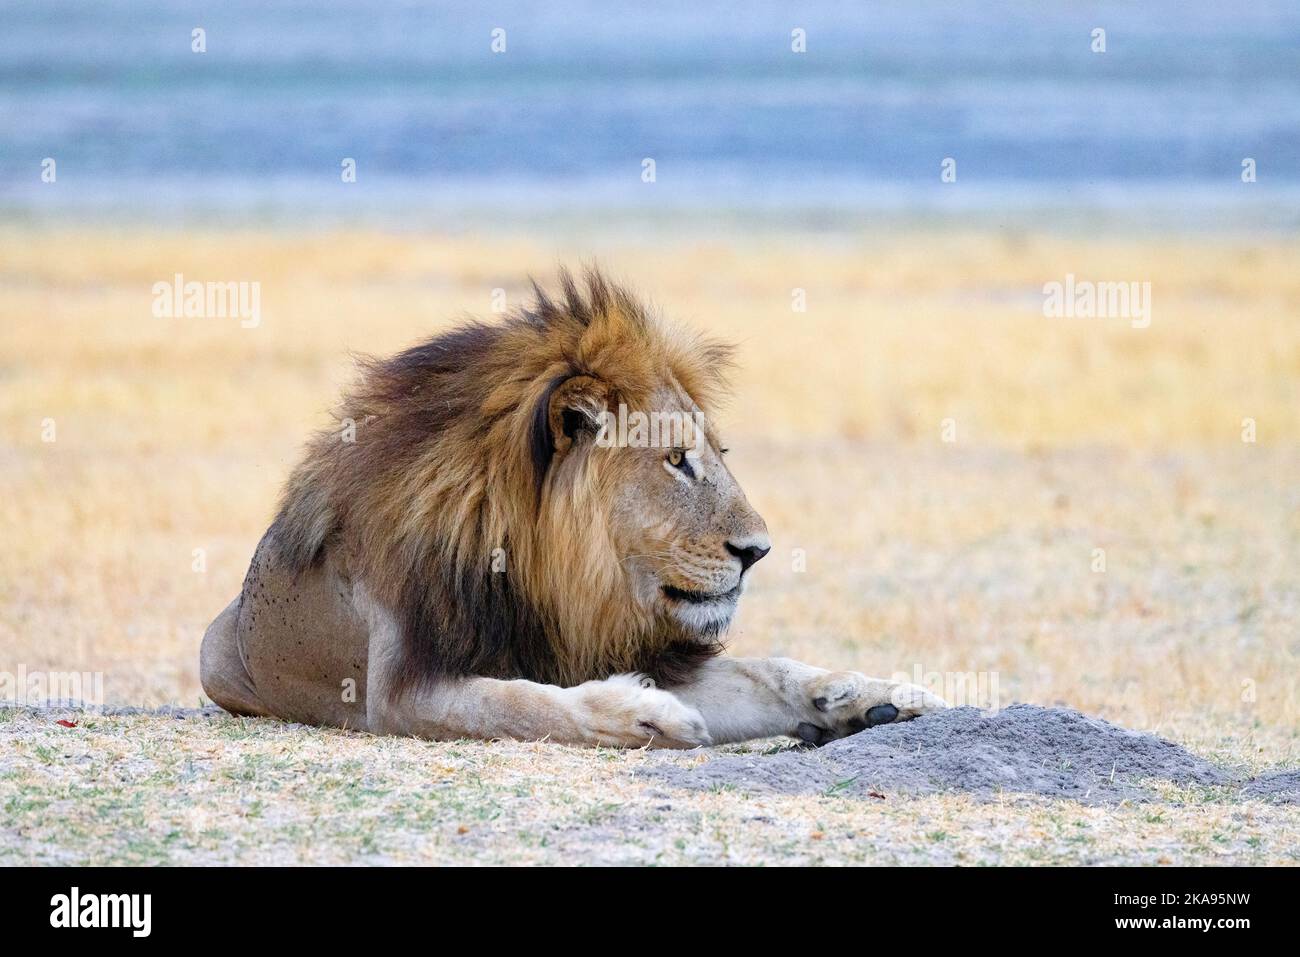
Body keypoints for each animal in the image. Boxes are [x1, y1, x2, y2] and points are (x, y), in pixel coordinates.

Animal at [200, 267, 946, 748]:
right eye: (677, 459)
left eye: (718, 452)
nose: (758, 552)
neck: (555, 577)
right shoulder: (397, 691)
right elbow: (521, 704)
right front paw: (649, 718)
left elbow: (768, 671)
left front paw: (871, 696)